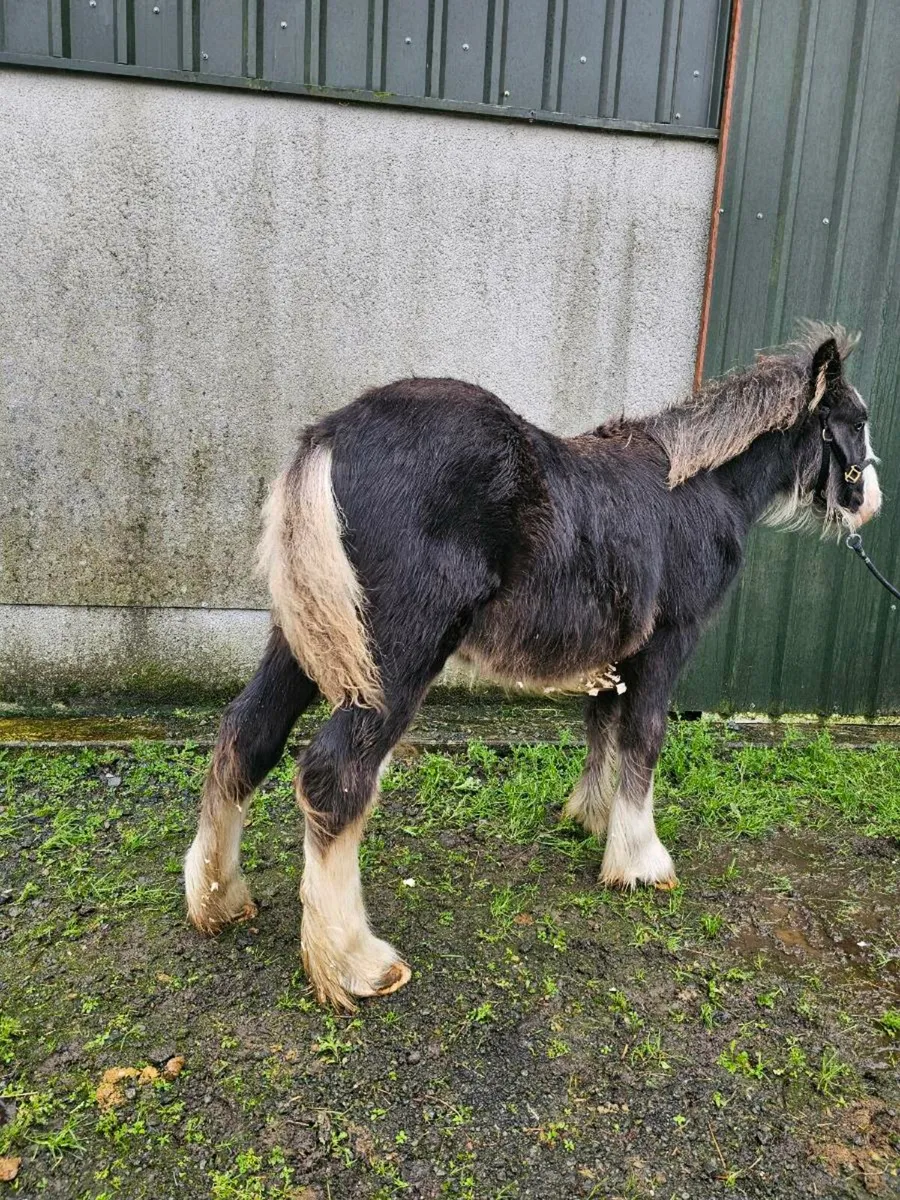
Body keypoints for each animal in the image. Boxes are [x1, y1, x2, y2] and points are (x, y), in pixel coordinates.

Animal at [184, 326, 882, 1010]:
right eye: (854, 421)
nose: (868, 502)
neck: (701, 487)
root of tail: (332, 435)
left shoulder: (615, 654)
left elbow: (604, 730)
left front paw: (592, 820)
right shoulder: (668, 644)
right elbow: (645, 738)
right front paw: (640, 862)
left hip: (307, 640)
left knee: (246, 733)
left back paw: (220, 900)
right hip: (395, 658)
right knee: (335, 775)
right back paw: (357, 963)